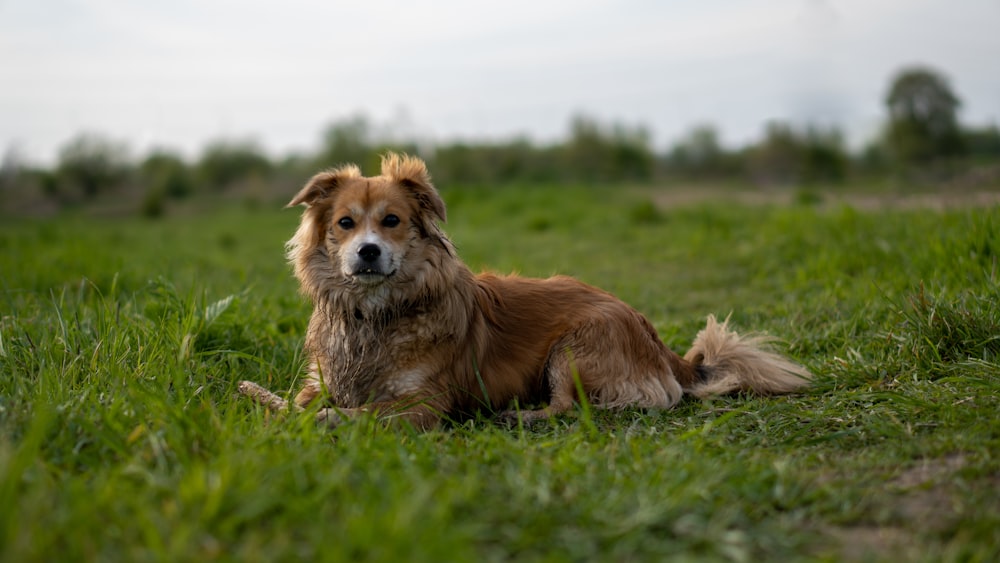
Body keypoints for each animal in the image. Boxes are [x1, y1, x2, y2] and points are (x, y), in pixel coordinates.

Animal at [242, 152, 812, 430]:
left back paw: (523, 416)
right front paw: (262, 402)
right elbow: (296, 399)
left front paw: (322, 420)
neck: (377, 314)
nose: (367, 252)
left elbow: (356, 413)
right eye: (344, 223)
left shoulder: (424, 405)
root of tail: (659, 343)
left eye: (392, 221)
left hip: (576, 348)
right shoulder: (323, 376)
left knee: (584, 408)